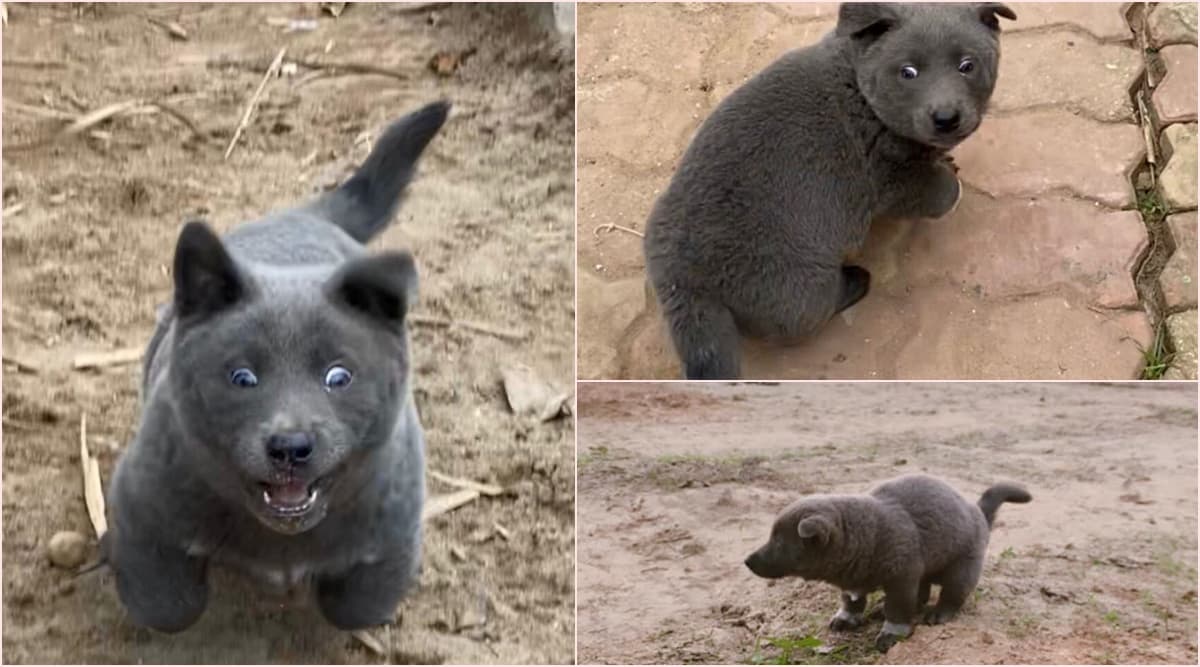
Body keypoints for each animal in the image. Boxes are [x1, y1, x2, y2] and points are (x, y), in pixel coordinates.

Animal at [103, 101, 448, 633]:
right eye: (242, 377)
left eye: (339, 377)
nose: (290, 447)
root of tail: (302, 215)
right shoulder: (141, 502)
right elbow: (168, 606)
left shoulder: (396, 528)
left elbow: (359, 605)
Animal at [643, 2, 1017, 376]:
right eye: (907, 72)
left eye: (967, 65)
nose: (946, 117)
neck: (861, 90)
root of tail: (682, 281)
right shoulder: (889, 177)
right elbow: (938, 190)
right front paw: (949, 183)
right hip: (798, 284)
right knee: (805, 315)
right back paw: (855, 280)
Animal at [739, 475, 1032, 652]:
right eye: (771, 536)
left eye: (779, 542)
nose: (747, 560)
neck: (868, 536)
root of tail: (978, 512)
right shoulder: (854, 581)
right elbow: (852, 601)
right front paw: (846, 618)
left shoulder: (902, 578)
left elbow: (898, 608)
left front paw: (892, 634)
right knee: (922, 592)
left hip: (962, 568)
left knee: (952, 595)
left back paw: (937, 614)